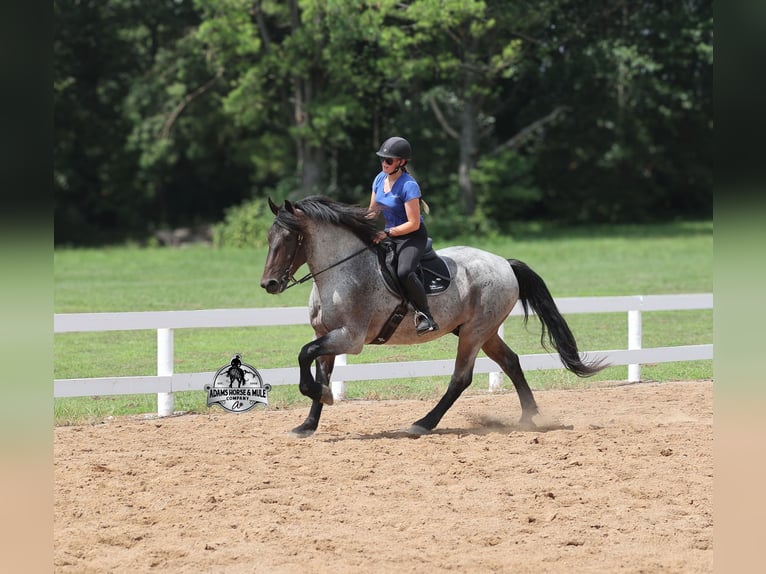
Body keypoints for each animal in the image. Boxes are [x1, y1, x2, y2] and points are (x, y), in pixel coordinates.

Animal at [260, 196, 605, 437]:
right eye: (269, 238)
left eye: (289, 239)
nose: (269, 284)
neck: (340, 272)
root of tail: (504, 263)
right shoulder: (325, 335)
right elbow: (318, 371)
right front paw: (308, 423)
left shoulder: (350, 337)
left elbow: (305, 356)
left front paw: (323, 397)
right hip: (483, 331)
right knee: (511, 362)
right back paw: (528, 417)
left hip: (474, 333)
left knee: (461, 378)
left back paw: (424, 423)